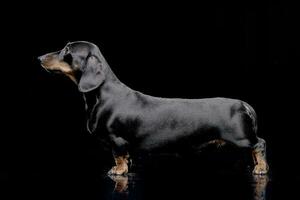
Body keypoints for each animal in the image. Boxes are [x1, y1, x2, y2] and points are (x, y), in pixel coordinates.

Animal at [38, 41, 270, 175]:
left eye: (67, 50)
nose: (39, 58)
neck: (101, 96)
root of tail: (244, 104)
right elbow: (126, 157)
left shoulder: (117, 140)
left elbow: (119, 156)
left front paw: (118, 170)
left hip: (241, 137)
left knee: (260, 144)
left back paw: (260, 167)